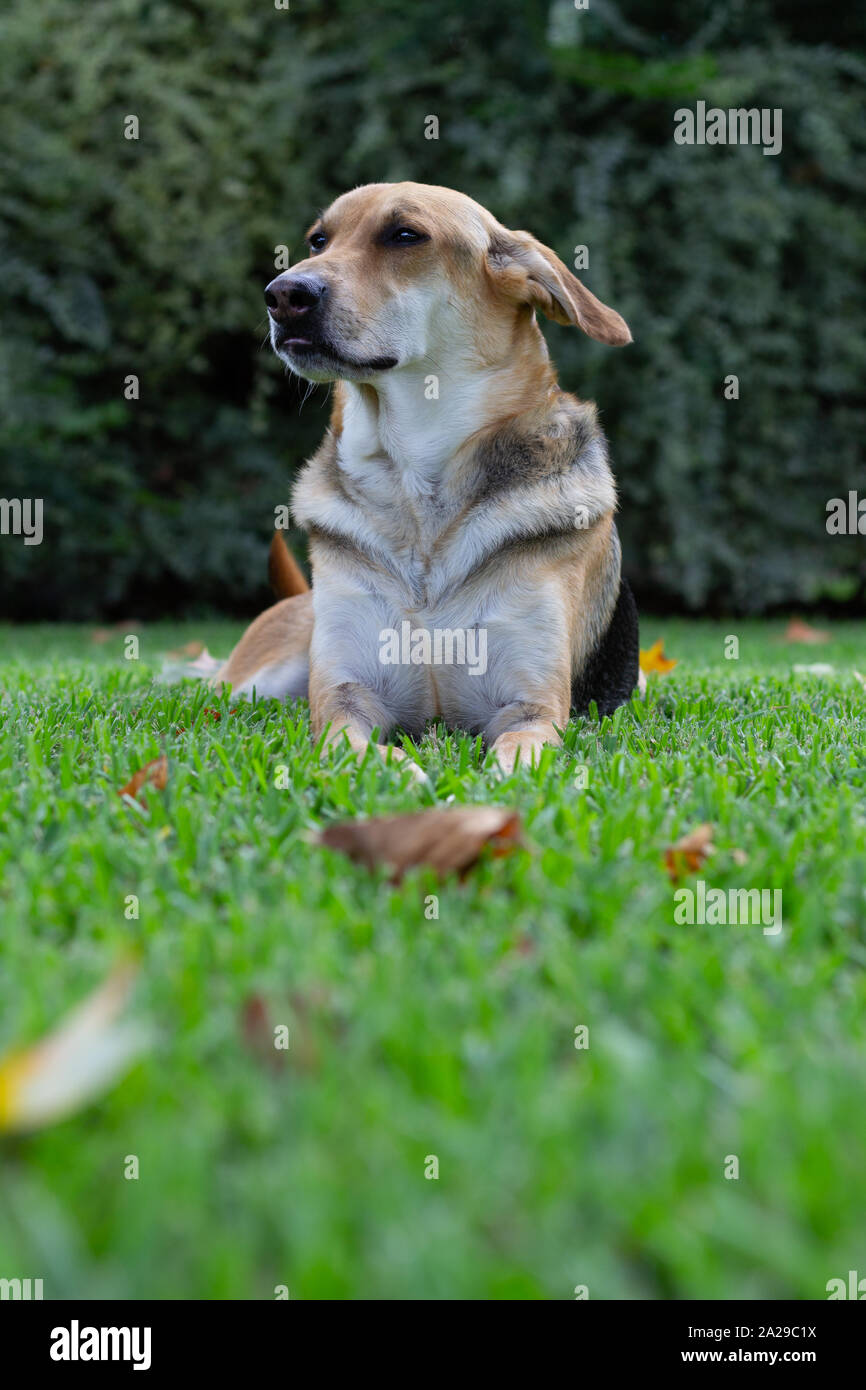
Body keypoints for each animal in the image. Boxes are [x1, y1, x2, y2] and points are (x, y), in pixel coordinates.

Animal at [215, 179, 636, 778]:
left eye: (405, 235)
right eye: (319, 240)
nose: (282, 294)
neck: (416, 477)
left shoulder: (532, 707)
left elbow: (517, 757)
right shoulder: (345, 695)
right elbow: (354, 745)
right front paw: (404, 777)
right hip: (255, 681)